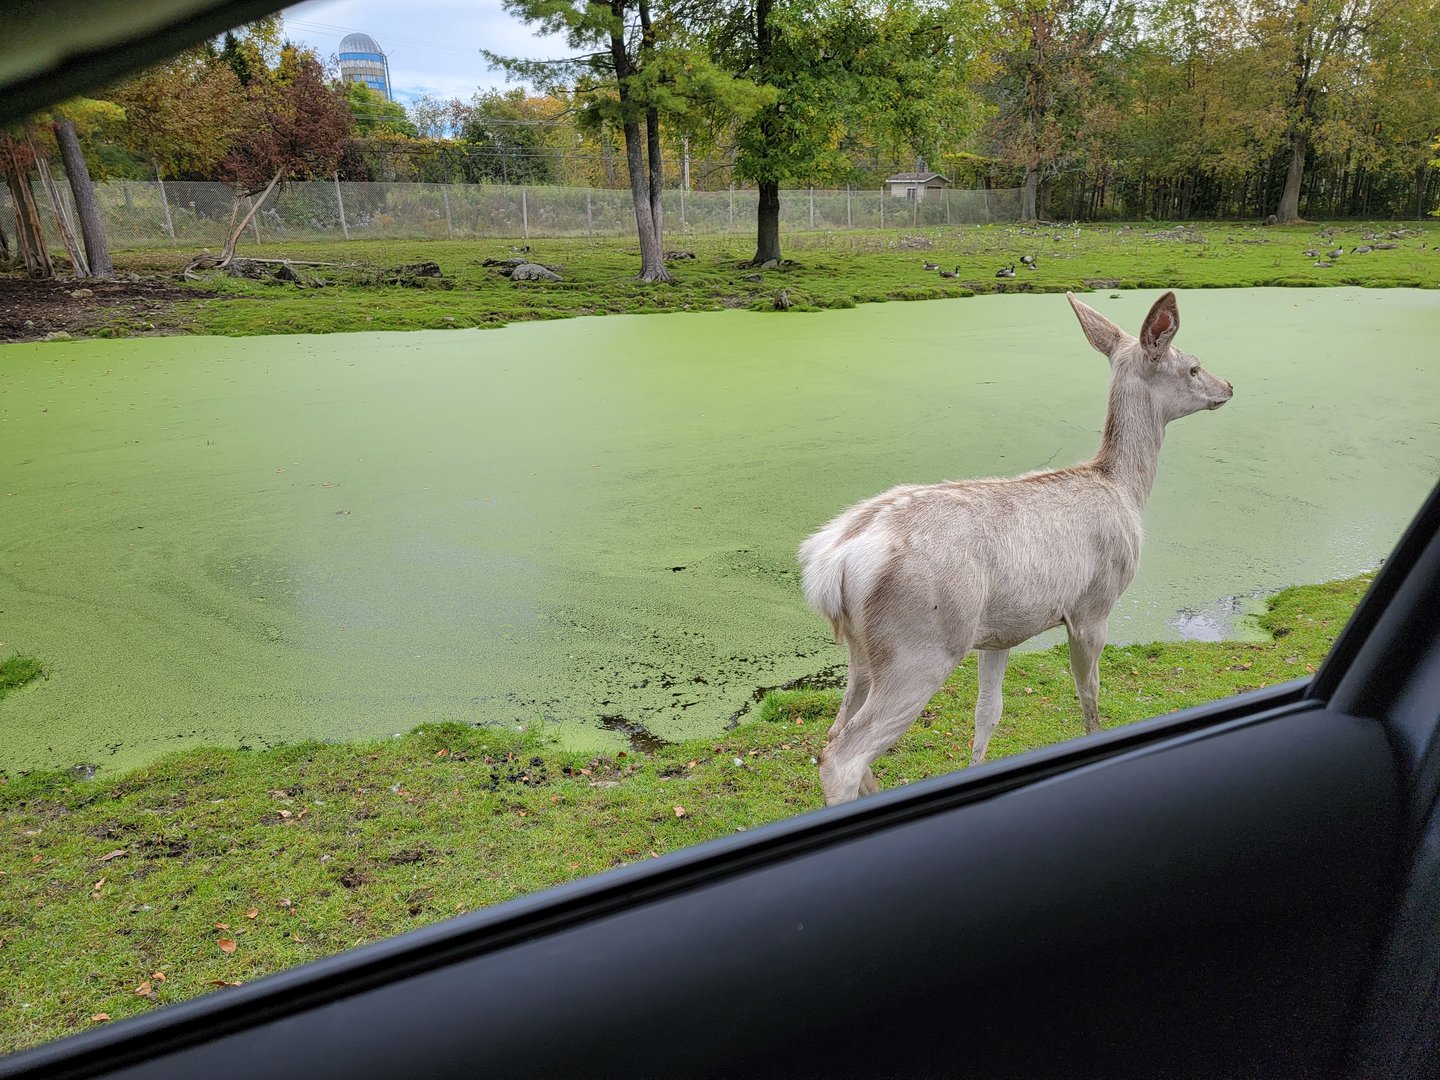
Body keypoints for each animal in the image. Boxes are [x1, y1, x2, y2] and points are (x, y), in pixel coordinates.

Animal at [798, 291, 1232, 805]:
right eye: (1193, 366)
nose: (1228, 385)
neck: (1124, 490)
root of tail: (833, 561)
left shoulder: (1000, 633)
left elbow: (988, 714)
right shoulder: (1094, 606)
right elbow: (1090, 693)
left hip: (864, 649)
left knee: (834, 732)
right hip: (921, 645)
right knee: (842, 755)